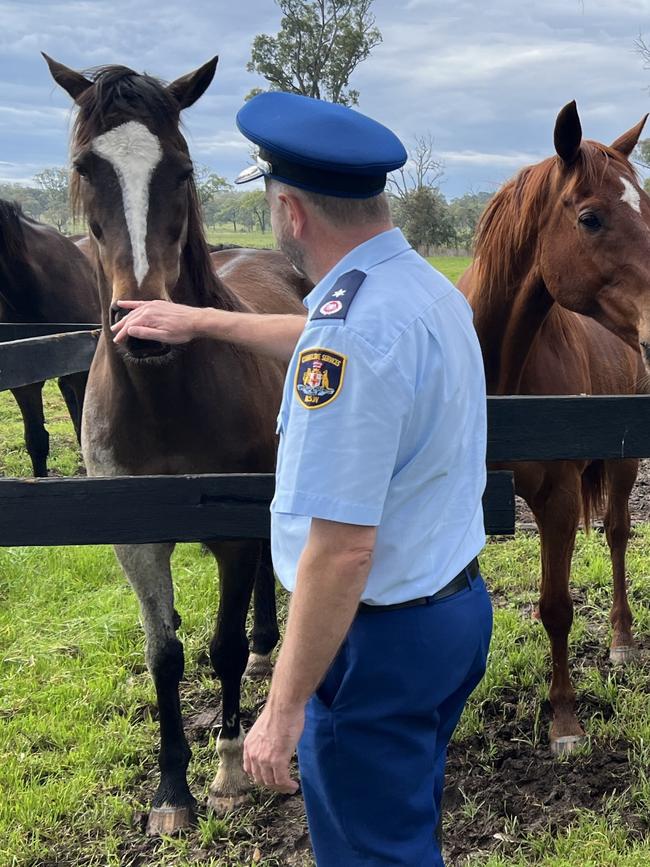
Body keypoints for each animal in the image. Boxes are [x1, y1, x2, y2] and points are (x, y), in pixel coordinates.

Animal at [46, 54, 308, 836]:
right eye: (86, 166)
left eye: (183, 170)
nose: (145, 326)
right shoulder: (136, 538)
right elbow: (164, 653)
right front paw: (171, 790)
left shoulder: (229, 529)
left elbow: (219, 646)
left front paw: (228, 770)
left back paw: (262, 652)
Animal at [456, 100, 648, 752]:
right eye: (590, 218)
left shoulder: (559, 498)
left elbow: (557, 606)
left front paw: (564, 719)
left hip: (623, 462)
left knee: (616, 534)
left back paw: (621, 640)